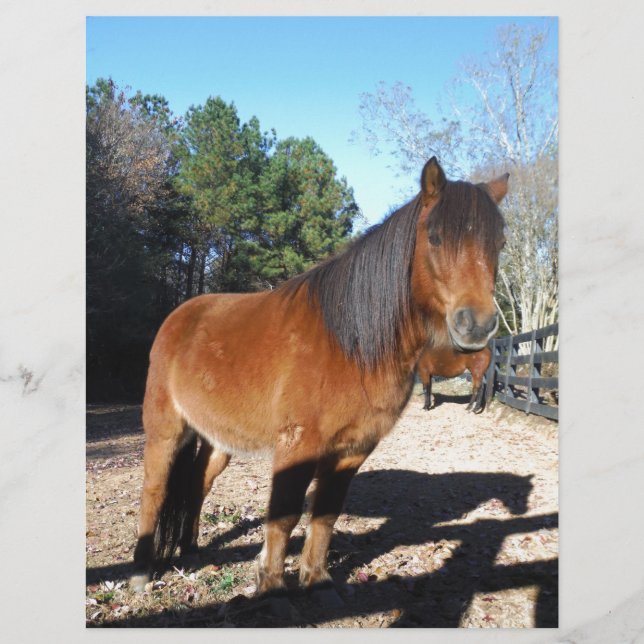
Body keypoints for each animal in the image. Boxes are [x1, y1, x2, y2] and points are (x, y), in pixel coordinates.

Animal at [130, 157, 509, 600]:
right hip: (165, 432)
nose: (477, 325)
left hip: (217, 439)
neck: (351, 343)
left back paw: (189, 549)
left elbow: (326, 513)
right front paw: (271, 585)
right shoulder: (298, 447)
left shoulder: (353, 449)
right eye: (434, 237)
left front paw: (316, 579)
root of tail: (178, 317)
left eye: (499, 243)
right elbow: (284, 515)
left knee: (197, 485)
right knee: (154, 491)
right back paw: (141, 573)